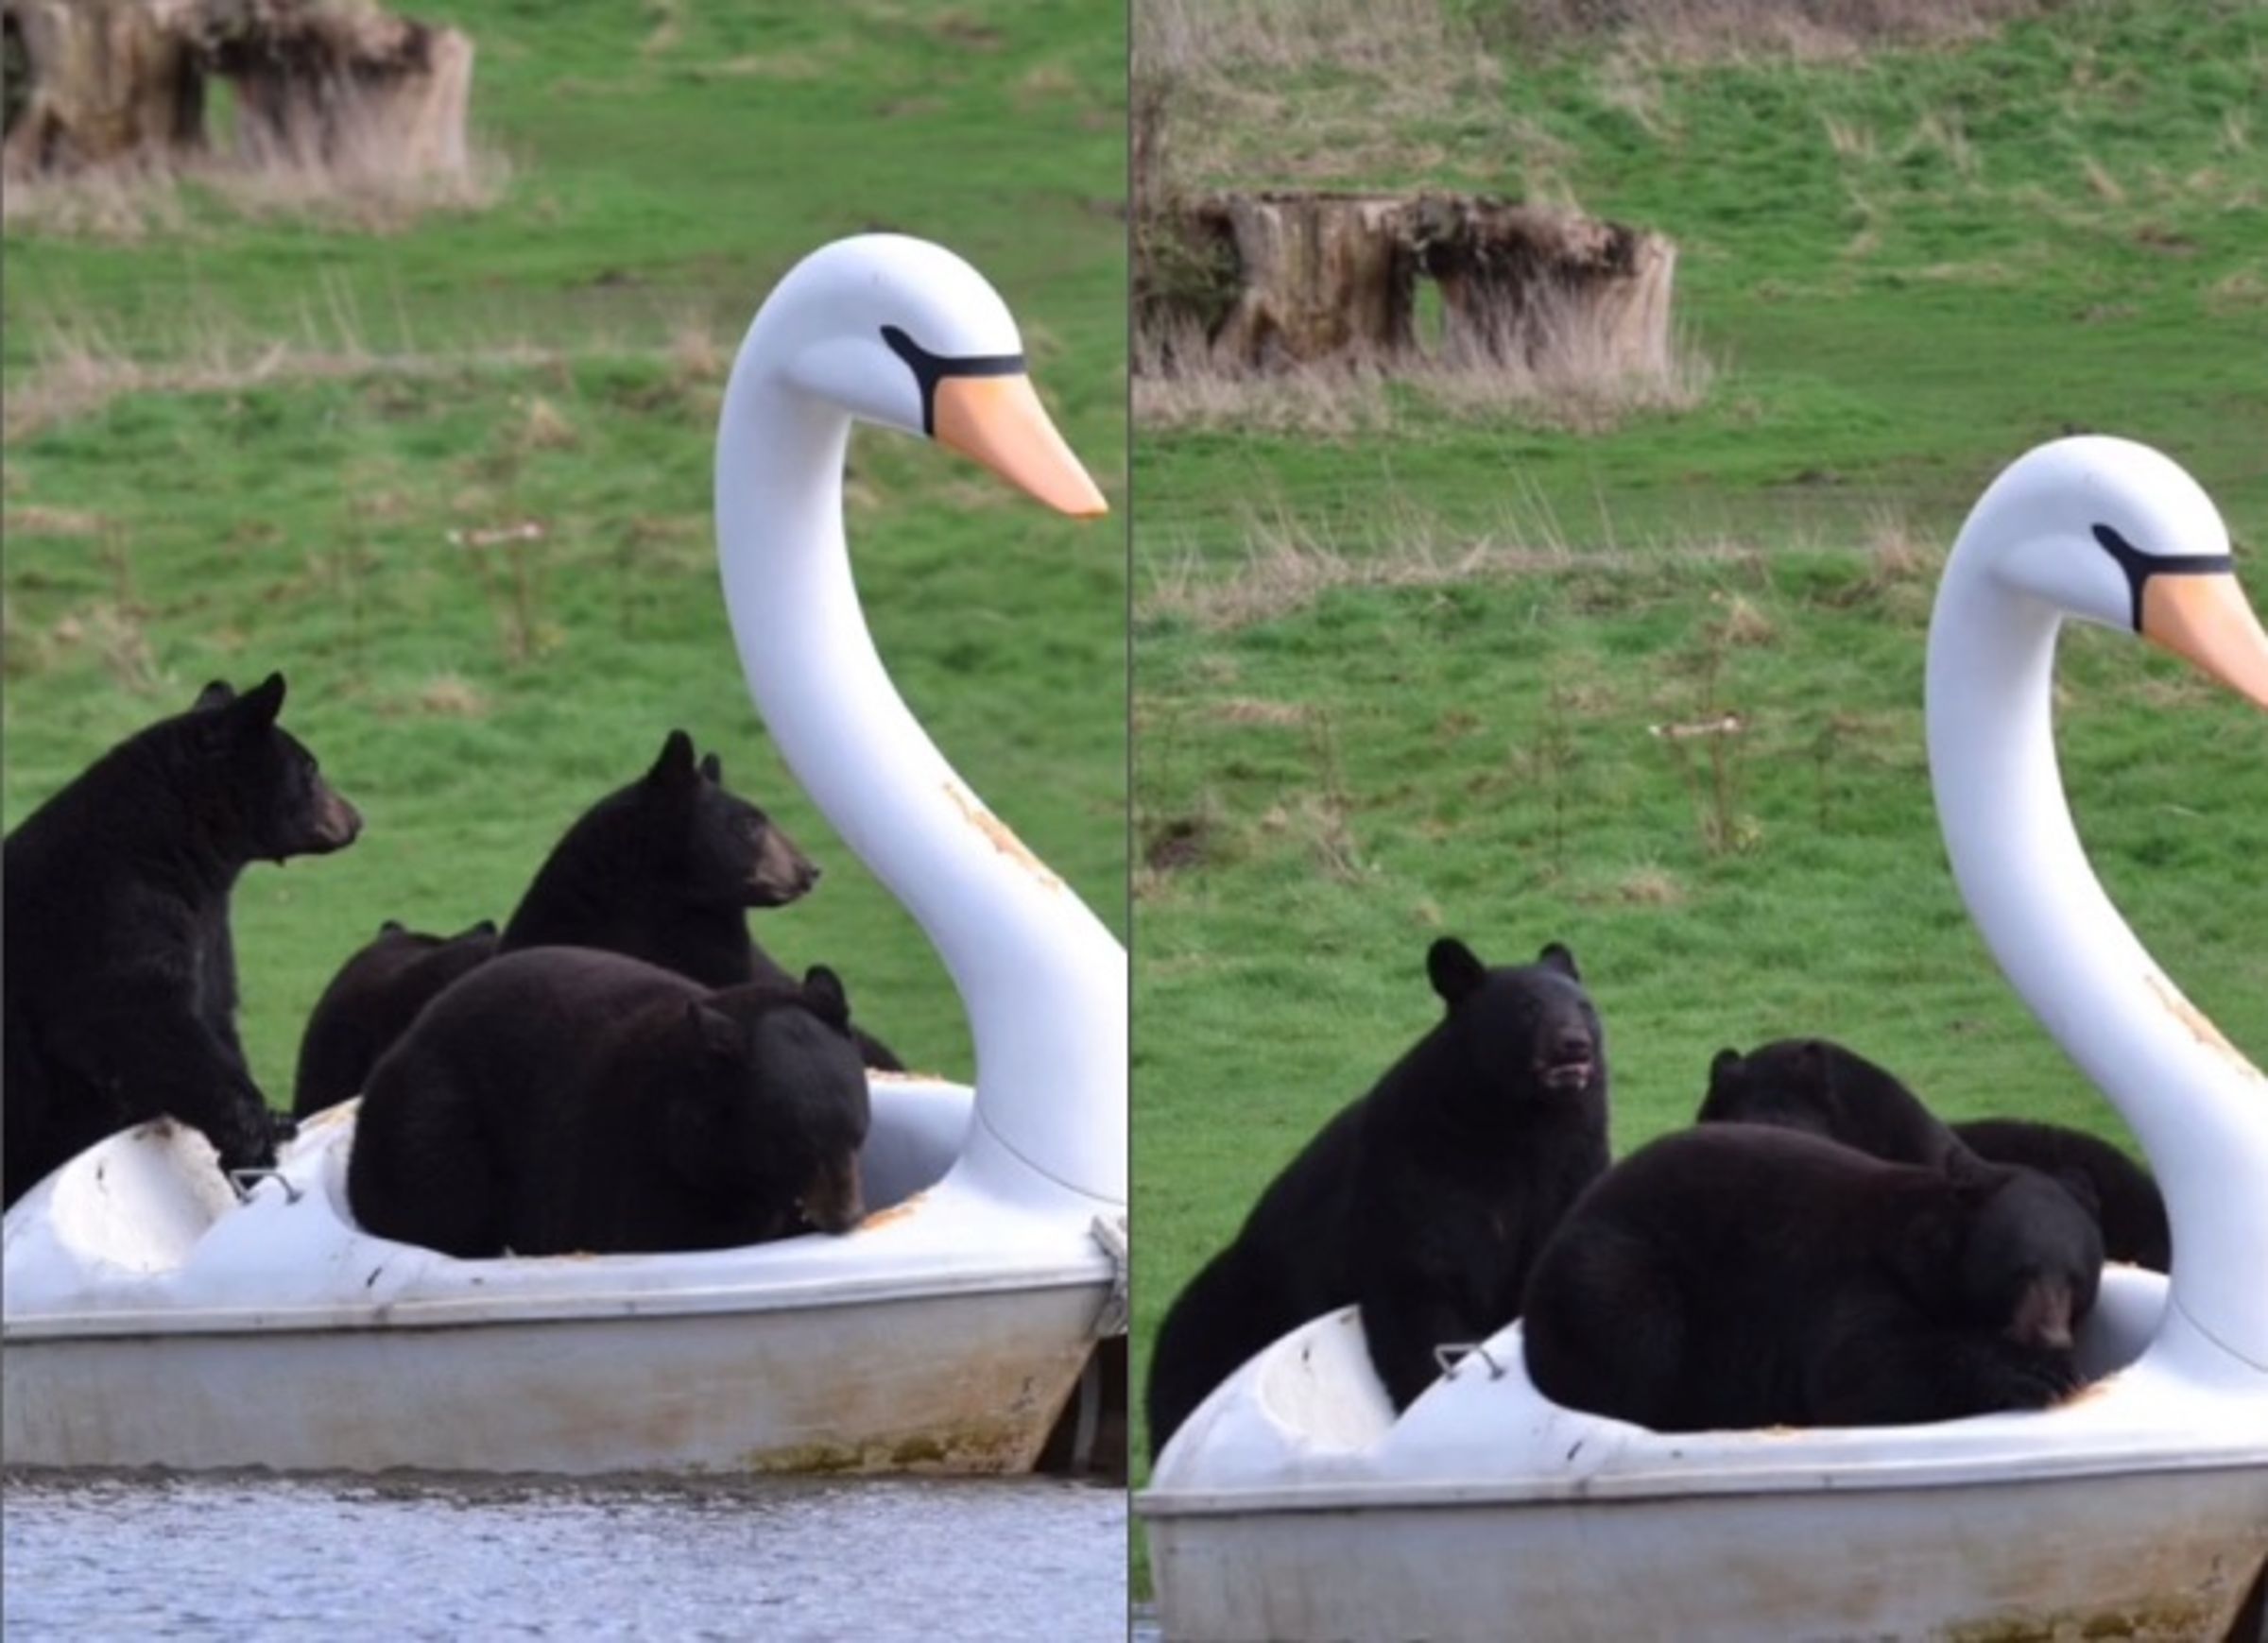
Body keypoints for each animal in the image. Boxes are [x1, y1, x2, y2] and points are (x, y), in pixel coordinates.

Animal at [3, 673, 361, 1207]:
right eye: (311, 768)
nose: (356, 819)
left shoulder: (209, 934)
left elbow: (215, 1013)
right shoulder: (111, 924)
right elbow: (148, 1026)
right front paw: (256, 1137)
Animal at [345, 947, 871, 1259]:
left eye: (857, 1133)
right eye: (798, 1147)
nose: (847, 1218)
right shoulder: (640, 1167)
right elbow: (660, 1233)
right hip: (434, 1120)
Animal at [1145, 937, 1609, 1458]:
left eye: (1585, 1006)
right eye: (1527, 1008)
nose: (1574, 1043)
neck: (1521, 1125)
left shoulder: (1570, 1168)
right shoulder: (1417, 1172)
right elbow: (1419, 1289)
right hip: (1232, 1305)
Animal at [1522, 1124, 2103, 1431]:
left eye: (2076, 1280)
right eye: (2021, 1270)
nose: (2049, 1336)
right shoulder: (1851, 1274)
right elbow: (1864, 1371)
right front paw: (2034, 1374)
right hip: (1612, 1268)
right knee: (1630, 1328)